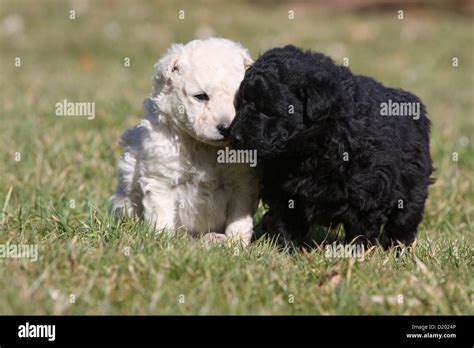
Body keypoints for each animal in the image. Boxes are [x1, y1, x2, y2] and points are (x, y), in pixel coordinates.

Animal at [109, 38, 260, 245]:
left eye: (240, 98)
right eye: (201, 96)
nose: (227, 128)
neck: (205, 148)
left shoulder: (242, 182)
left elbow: (239, 218)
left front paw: (236, 244)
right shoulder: (160, 178)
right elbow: (161, 215)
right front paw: (162, 241)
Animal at [230, 46, 434, 250]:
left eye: (268, 110)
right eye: (240, 103)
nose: (234, 137)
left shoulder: (367, 190)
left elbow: (361, 227)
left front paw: (355, 251)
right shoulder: (281, 189)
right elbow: (284, 219)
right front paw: (284, 249)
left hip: (412, 185)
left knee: (404, 219)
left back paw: (399, 248)